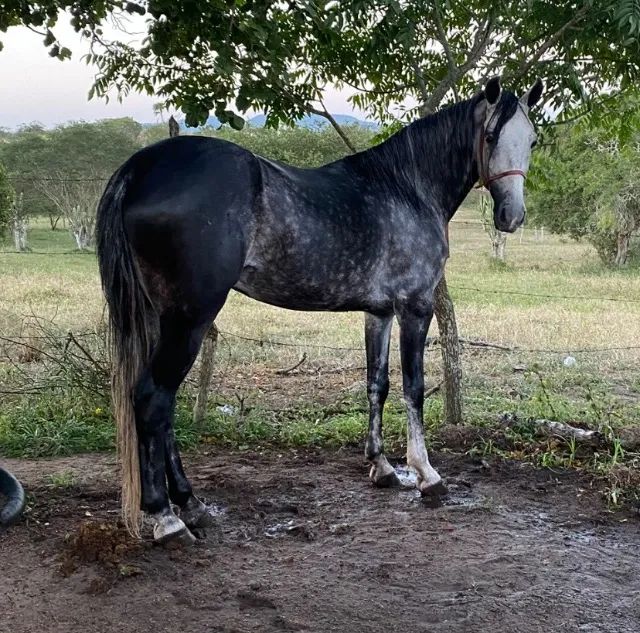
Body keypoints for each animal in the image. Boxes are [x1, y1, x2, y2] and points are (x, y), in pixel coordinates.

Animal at [96, 76, 543, 545]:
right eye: (491, 137)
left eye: (532, 139)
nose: (512, 216)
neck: (407, 189)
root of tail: (142, 166)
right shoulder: (415, 308)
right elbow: (414, 389)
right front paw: (426, 475)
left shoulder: (379, 313)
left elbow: (377, 384)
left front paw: (382, 468)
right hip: (190, 320)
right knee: (153, 400)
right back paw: (167, 518)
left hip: (162, 319)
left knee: (163, 406)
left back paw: (193, 505)